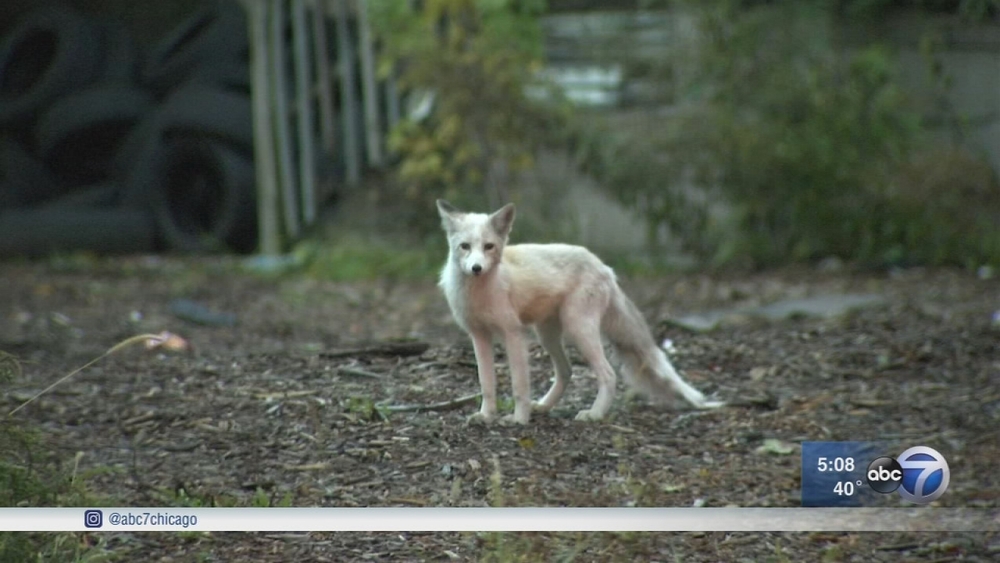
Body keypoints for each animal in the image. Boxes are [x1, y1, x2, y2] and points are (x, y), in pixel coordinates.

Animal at [436, 199, 724, 425]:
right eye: (465, 246)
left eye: (488, 247)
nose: (476, 268)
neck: (479, 294)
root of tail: (604, 266)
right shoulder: (479, 336)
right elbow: (486, 384)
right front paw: (486, 416)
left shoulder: (513, 334)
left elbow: (519, 385)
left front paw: (519, 419)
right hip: (548, 335)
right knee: (566, 371)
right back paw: (544, 406)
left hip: (578, 330)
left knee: (608, 374)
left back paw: (594, 414)